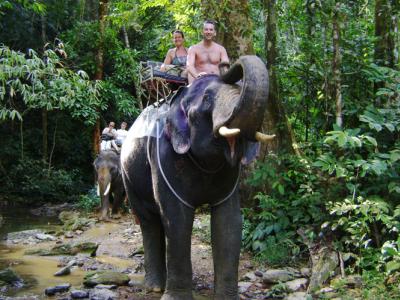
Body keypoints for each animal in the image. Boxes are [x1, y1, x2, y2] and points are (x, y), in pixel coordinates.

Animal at [120, 55, 274, 298]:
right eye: (208, 99)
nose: (225, 65)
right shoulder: (164, 156)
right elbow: (177, 218)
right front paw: (175, 297)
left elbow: (229, 221)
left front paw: (227, 298)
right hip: (128, 177)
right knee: (149, 221)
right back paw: (154, 287)